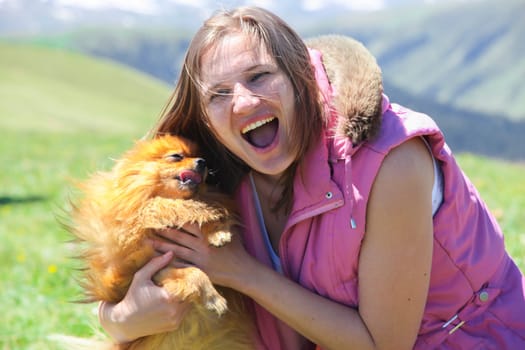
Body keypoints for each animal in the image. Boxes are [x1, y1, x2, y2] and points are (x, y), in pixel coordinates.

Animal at [67, 135, 256, 350]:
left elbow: (207, 209)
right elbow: (194, 272)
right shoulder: (143, 270)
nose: (203, 161)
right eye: (176, 156)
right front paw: (212, 297)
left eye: (200, 156)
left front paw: (218, 232)